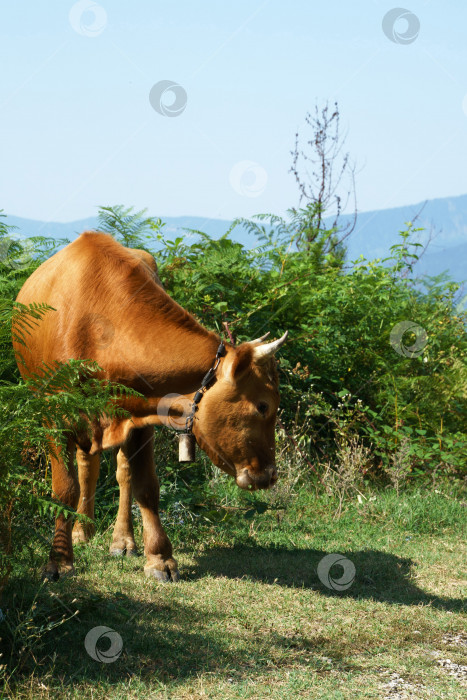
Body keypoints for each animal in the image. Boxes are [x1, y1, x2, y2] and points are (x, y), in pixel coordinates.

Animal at [12, 231, 288, 580]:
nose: (270, 475)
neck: (96, 327)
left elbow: (145, 485)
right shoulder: (55, 414)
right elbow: (64, 489)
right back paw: (81, 531)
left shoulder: (142, 415)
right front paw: (59, 560)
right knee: (88, 464)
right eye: (263, 406)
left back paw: (121, 541)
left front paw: (159, 558)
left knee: (119, 472)